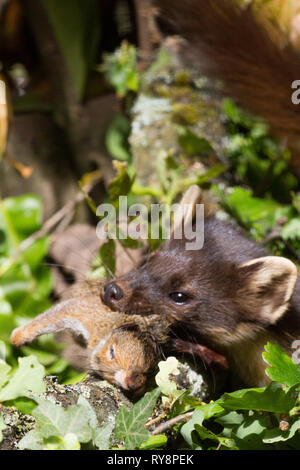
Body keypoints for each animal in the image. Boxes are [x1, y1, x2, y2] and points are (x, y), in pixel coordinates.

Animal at [10, 282, 171, 392]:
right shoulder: (84, 313)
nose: (132, 382)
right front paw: (18, 337)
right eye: (111, 352)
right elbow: (51, 318)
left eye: (151, 368)